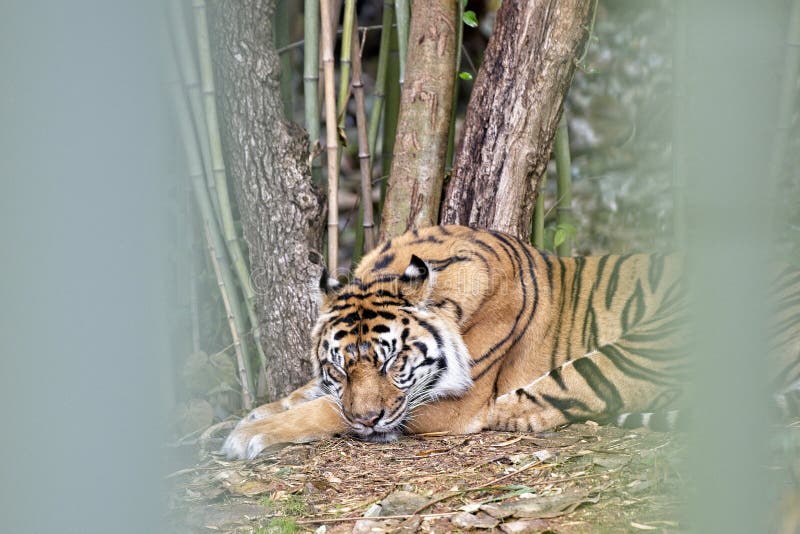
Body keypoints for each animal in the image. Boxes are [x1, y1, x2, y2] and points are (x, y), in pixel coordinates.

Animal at [222, 225, 800, 460]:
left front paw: (248, 435)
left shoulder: (448, 404)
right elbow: (307, 394)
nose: (369, 420)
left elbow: (323, 411)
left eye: (392, 363)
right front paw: (248, 416)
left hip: (656, 337)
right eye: (340, 368)